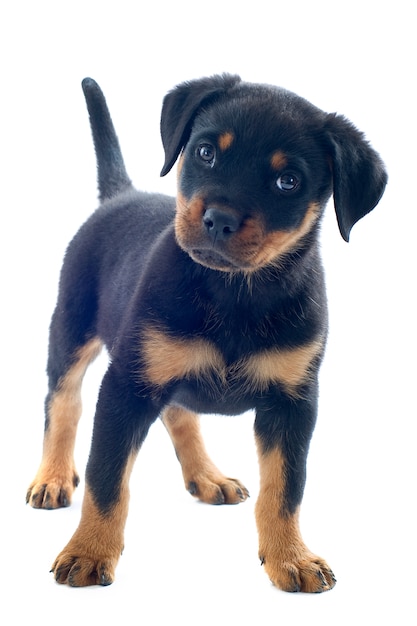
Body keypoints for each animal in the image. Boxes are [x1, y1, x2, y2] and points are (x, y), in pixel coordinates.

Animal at [26, 74, 386, 588]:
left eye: (288, 181)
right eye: (205, 152)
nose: (219, 220)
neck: (235, 292)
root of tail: (120, 194)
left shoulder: (294, 403)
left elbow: (284, 489)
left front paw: (291, 558)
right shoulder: (125, 386)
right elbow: (107, 478)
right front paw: (89, 552)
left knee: (179, 412)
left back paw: (208, 476)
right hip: (71, 328)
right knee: (63, 402)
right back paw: (53, 477)